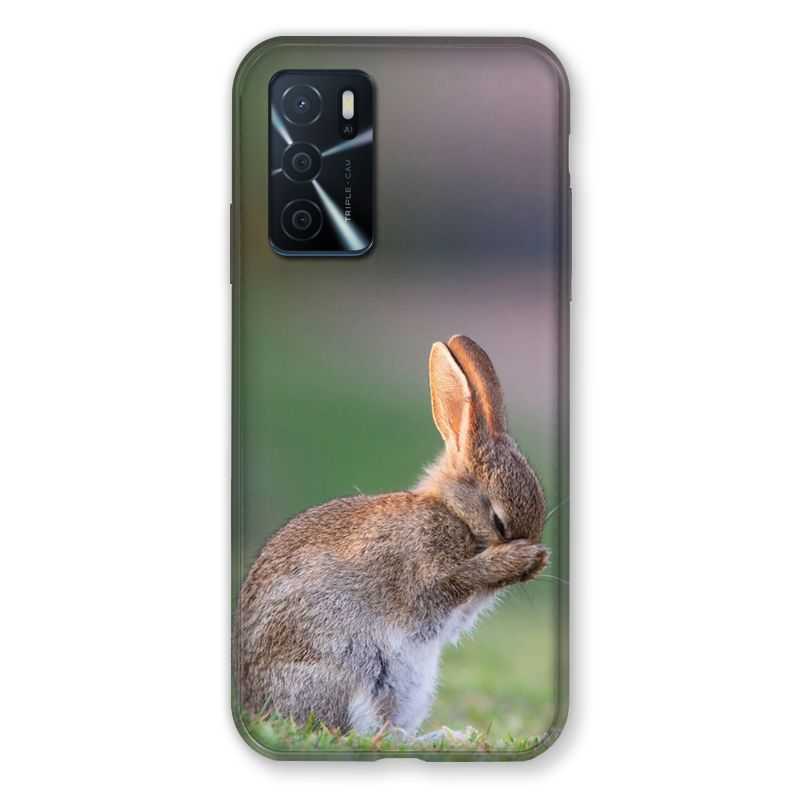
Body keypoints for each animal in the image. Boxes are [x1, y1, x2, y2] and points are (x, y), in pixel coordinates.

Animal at [236, 335, 549, 736]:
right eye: (498, 521)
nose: (534, 558)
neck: (453, 513)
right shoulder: (426, 572)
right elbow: (455, 580)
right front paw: (520, 558)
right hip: (350, 668)